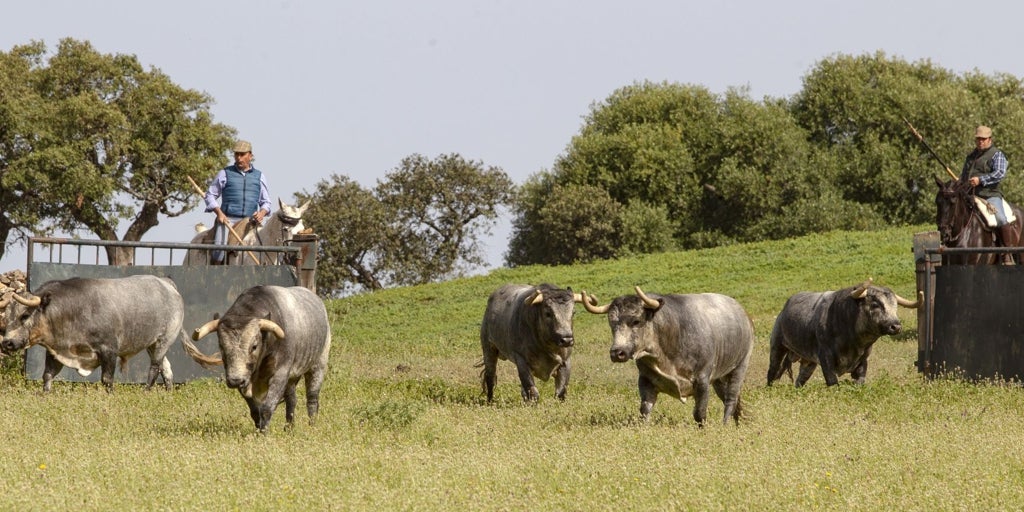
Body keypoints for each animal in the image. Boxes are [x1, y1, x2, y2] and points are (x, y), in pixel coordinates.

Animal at [0, 276, 182, 391]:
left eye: (24, 315)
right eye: (7, 317)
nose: (6, 342)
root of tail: (166, 283)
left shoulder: (109, 350)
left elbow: (107, 380)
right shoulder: (55, 352)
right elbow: (48, 375)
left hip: (163, 341)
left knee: (154, 369)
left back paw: (146, 391)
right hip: (152, 345)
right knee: (166, 370)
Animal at [585, 286, 753, 425]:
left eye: (636, 321)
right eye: (612, 323)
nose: (617, 352)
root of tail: (743, 314)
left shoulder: (702, 380)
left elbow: (699, 414)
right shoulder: (645, 380)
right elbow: (644, 411)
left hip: (740, 366)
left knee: (730, 398)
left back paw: (725, 424)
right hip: (719, 377)